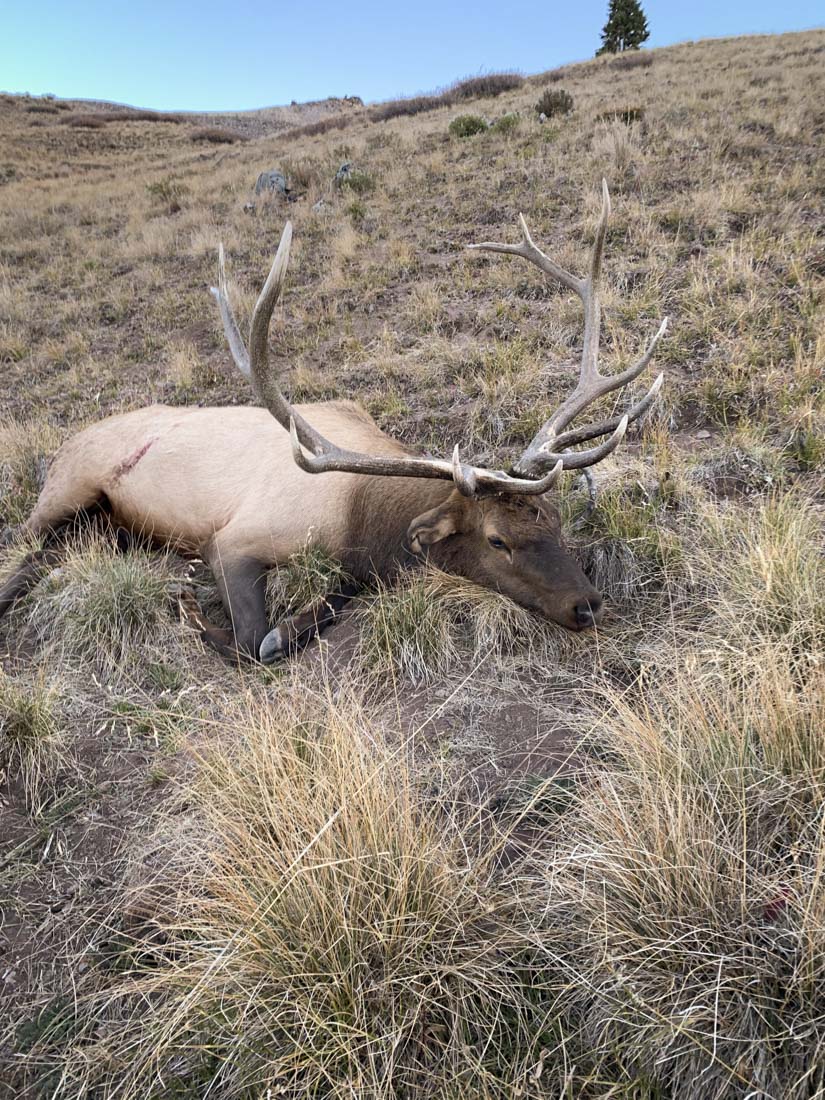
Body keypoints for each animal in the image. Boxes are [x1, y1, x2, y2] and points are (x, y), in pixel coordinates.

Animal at [0, 182, 666, 664]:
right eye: (498, 541)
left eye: (554, 520)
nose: (589, 604)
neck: (363, 517)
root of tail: (63, 445)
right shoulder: (236, 538)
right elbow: (255, 644)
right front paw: (195, 605)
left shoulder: (357, 566)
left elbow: (328, 600)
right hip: (67, 490)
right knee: (24, 552)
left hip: (106, 523)